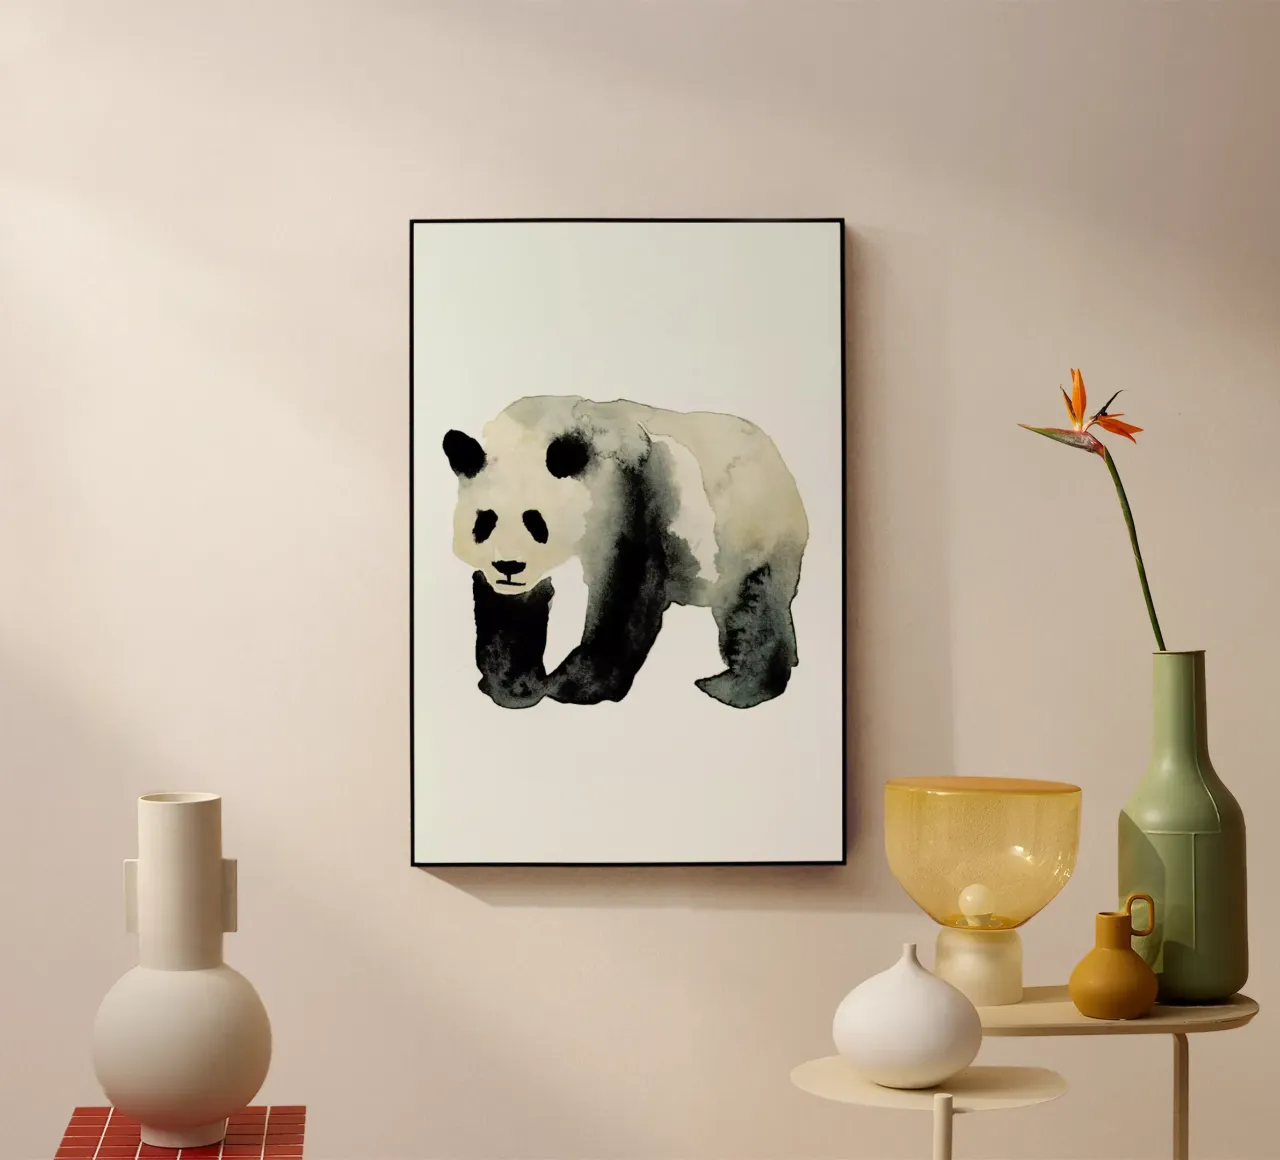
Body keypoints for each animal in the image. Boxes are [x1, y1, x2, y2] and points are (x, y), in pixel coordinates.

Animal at [442, 395, 809, 710]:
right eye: (486, 520)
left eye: (535, 521)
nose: (509, 566)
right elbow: (511, 611)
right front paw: (513, 685)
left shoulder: (631, 494)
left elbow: (625, 590)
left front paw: (573, 687)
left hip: (750, 531)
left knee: (753, 607)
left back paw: (734, 687)